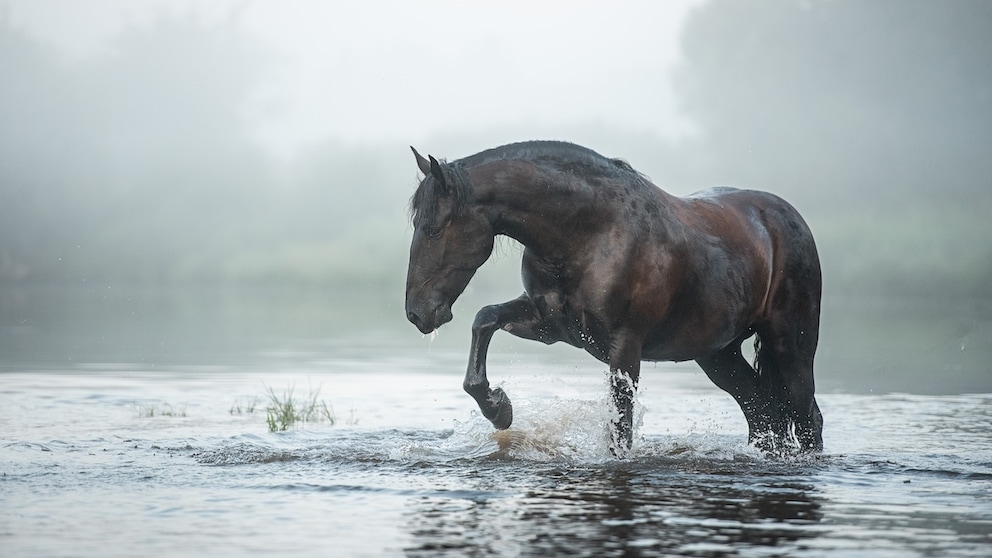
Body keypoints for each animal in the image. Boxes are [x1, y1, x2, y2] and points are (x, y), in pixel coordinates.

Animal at [404, 141, 823, 454]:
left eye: (434, 228)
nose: (417, 314)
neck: (590, 232)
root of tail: (785, 218)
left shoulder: (625, 348)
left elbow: (620, 430)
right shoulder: (548, 325)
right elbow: (485, 319)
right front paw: (499, 408)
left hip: (791, 348)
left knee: (806, 418)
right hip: (719, 355)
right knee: (762, 410)